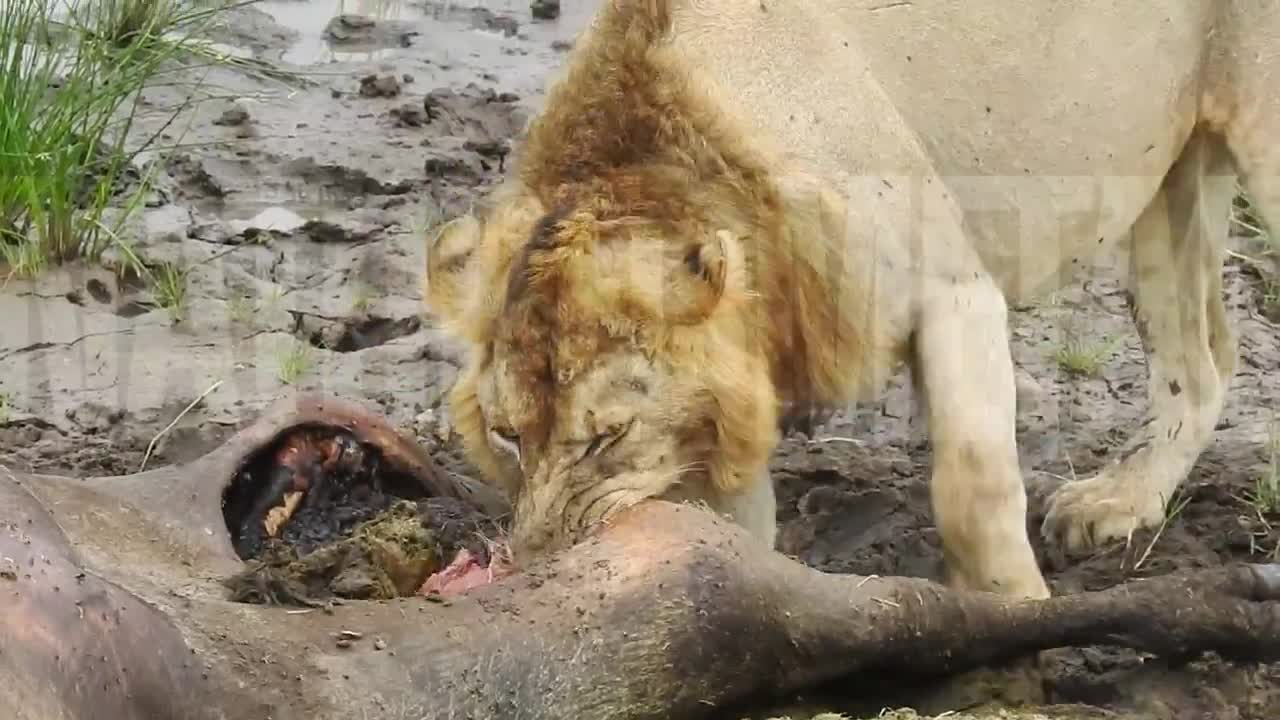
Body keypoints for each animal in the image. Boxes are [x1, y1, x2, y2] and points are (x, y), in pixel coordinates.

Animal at [422, 0, 1278, 600]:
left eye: (609, 436)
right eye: (506, 435)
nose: (541, 569)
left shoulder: (954, 289)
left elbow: (971, 485)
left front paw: (1013, 615)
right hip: (1171, 180)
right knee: (1204, 361)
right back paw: (1121, 499)